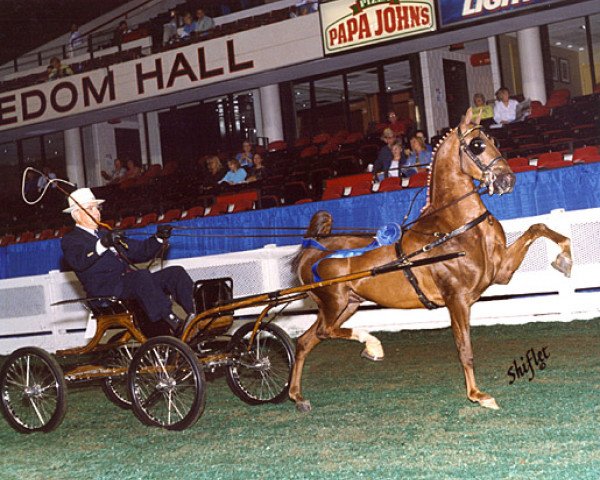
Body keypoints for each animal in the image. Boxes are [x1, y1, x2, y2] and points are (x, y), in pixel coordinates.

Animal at [290, 109, 572, 412]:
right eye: (477, 145)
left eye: (493, 139)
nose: (508, 180)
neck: (454, 228)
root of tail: (312, 250)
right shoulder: (456, 299)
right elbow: (464, 348)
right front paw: (478, 395)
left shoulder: (500, 273)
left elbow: (537, 227)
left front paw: (565, 260)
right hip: (335, 303)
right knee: (324, 332)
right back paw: (372, 346)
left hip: (348, 304)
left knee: (306, 341)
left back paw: (298, 396)